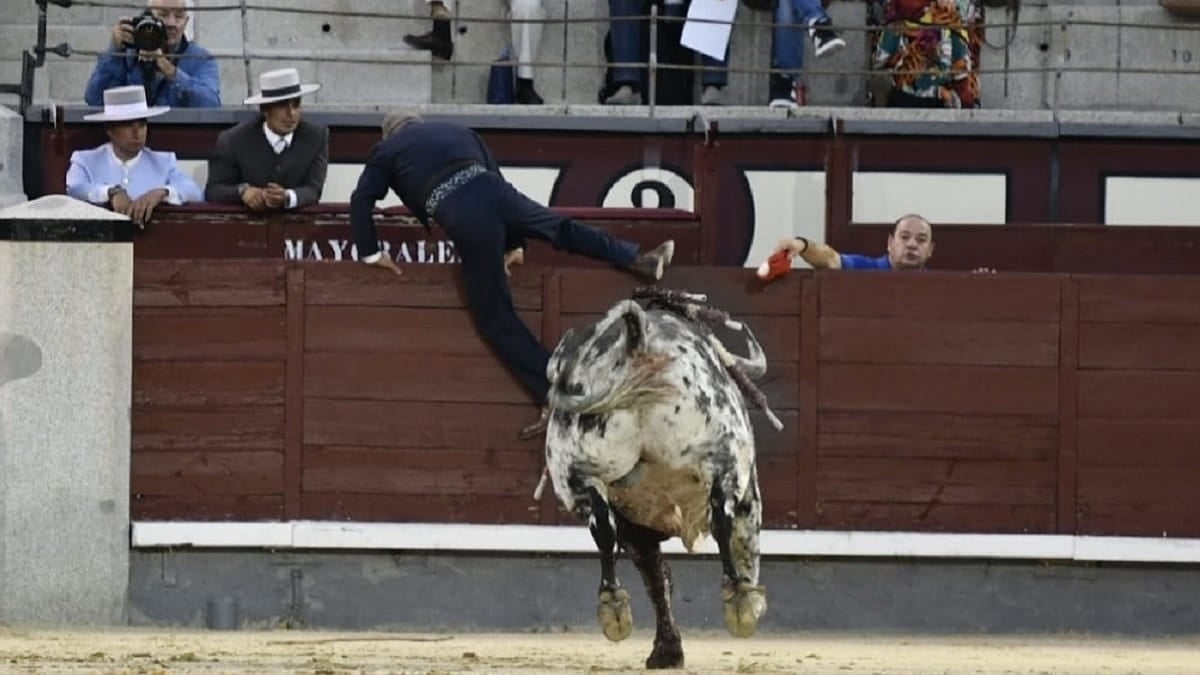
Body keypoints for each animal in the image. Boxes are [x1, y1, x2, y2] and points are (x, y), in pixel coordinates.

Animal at [538, 287, 783, 669]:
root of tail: (637, 342)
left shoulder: (633, 527)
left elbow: (655, 575)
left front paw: (665, 648)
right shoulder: (746, 494)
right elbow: (741, 545)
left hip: (576, 469)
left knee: (603, 529)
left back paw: (613, 606)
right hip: (722, 455)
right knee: (722, 521)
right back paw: (739, 598)